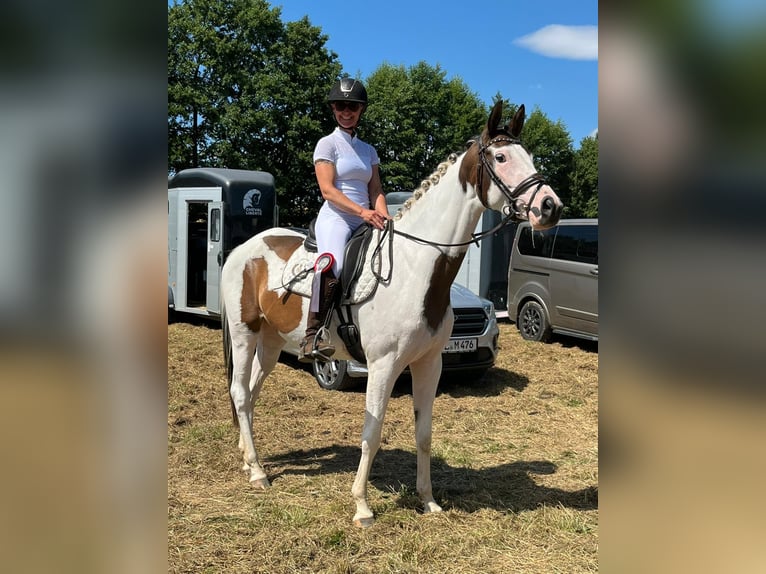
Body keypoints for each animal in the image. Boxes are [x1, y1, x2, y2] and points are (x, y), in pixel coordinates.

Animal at [221, 101, 563, 527]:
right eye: (501, 158)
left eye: (529, 156)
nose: (550, 207)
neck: (416, 267)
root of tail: (241, 249)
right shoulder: (383, 366)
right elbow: (372, 432)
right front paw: (362, 506)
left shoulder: (429, 363)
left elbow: (424, 433)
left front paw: (428, 500)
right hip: (244, 334)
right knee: (239, 392)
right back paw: (258, 472)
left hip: (270, 342)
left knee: (250, 394)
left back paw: (249, 461)